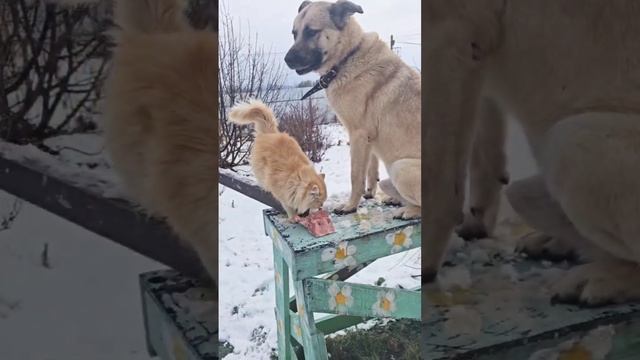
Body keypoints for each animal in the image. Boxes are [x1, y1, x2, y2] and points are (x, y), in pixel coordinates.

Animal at [284, 0, 420, 219]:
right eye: (294, 33)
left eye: (312, 32)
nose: (287, 60)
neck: (347, 58)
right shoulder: (369, 139)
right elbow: (371, 170)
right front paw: (370, 193)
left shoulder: (358, 135)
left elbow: (356, 176)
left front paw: (350, 206)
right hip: (390, 178)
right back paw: (396, 200)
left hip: (400, 168)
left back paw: (407, 211)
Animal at [424, 0, 640, 306]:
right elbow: (483, 150)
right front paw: (477, 221)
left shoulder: (449, 31)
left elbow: (436, 179)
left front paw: (423, 268)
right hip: (534, 184)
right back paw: (559, 245)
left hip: (571, 145)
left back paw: (600, 279)